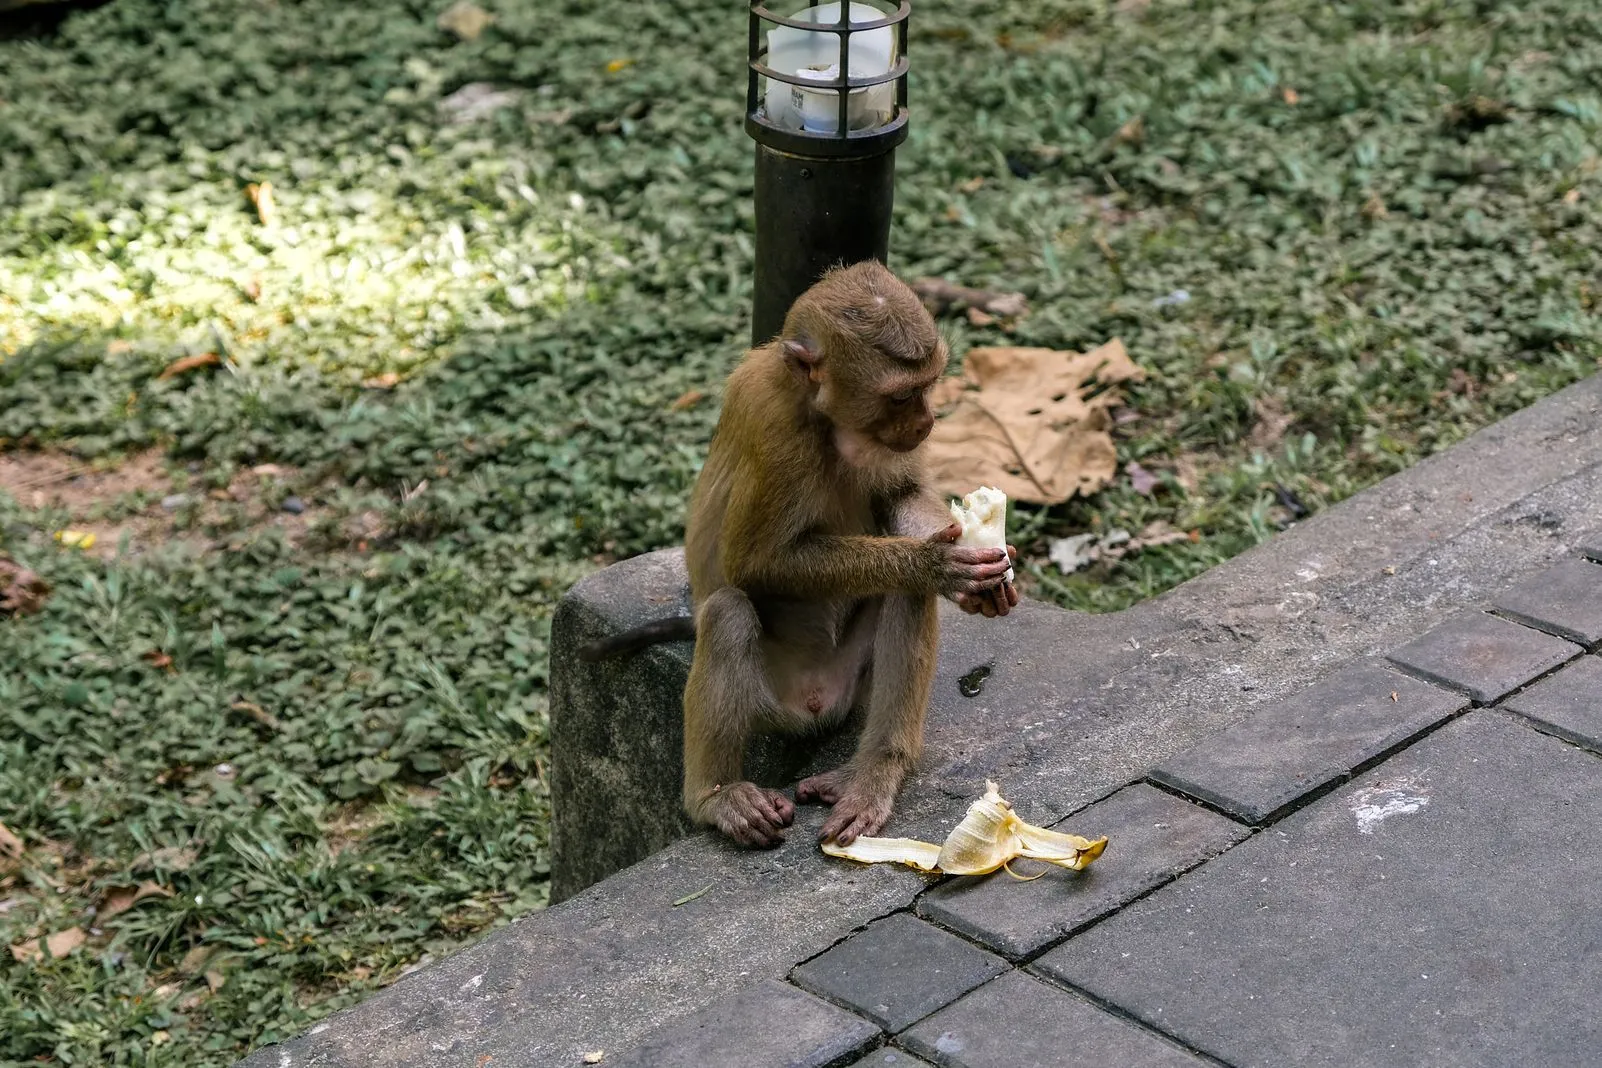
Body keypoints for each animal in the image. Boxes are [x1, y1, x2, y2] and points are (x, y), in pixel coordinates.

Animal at [583, 260, 1018, 848]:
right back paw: (716, 797)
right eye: (901, 397)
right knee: (727, 613)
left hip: (851, 686)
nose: (927, 423)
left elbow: (900, 494)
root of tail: (814, 704)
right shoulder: (775, 428)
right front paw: (932, 563)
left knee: (904, 600)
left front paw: (980, 575)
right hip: (769, 703)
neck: (824, 417)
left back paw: (874, 771)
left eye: (928, 387)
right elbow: (752, 562)